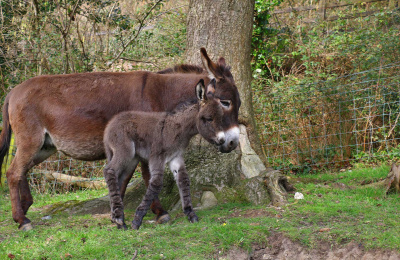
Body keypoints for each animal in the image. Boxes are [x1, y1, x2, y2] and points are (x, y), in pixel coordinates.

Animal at [103, 79, 225, 230]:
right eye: (208, 119)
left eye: (221, 118)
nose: (222, 140)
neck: (178, 129)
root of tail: (110, 125)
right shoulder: (157, 157)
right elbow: (156, 183)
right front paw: (137, 220)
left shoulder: (175, 157)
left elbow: (184, 181)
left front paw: (190, 214)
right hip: (124, 151)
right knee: (110, 171)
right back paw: (119, 218)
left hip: (131, 159)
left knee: (120, 178)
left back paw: (117, 219)